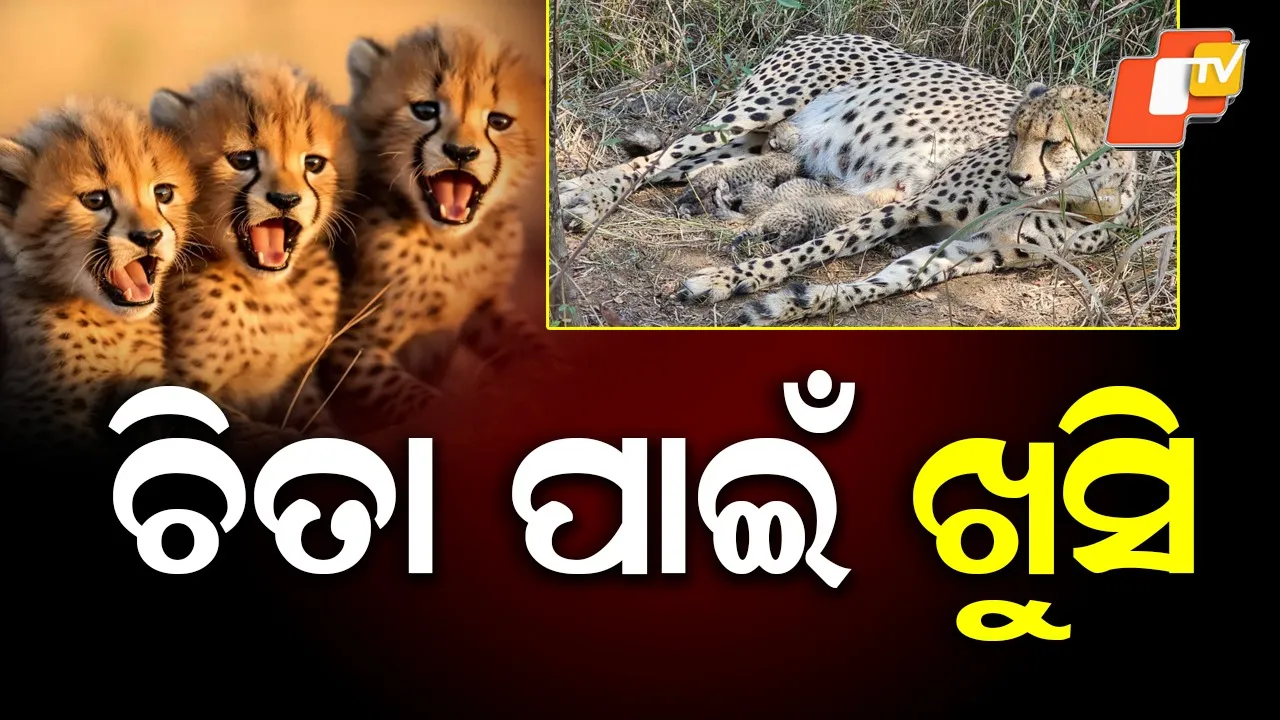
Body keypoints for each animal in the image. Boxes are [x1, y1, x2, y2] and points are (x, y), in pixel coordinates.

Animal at [148, 56, 357, 445]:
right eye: (242, 160)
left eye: (314, 163)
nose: (286, 199)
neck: (267, 291)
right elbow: (255, 432)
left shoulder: (297, 385)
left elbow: (322, 425)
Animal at [321, 23, 545, 433]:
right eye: (425, 110)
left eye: (499, 121)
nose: (461, 152)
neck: (454, 246)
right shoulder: (347, 345)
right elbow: (423, 401)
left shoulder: (486, 308)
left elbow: (537, 348)